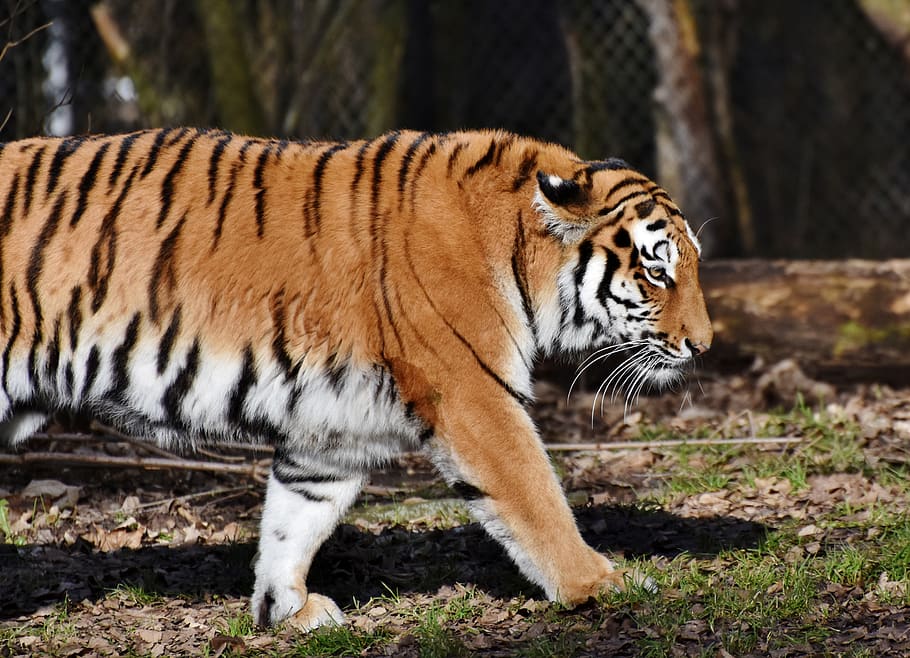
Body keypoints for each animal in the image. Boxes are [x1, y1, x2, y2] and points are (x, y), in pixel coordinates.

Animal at [0, 127, 711, 630]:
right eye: (657, 270)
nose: (703, 345)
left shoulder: (330, 429)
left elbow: (295, 519)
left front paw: (286, 610)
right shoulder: (474, 394)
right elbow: (536, 496)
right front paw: (600, 583)